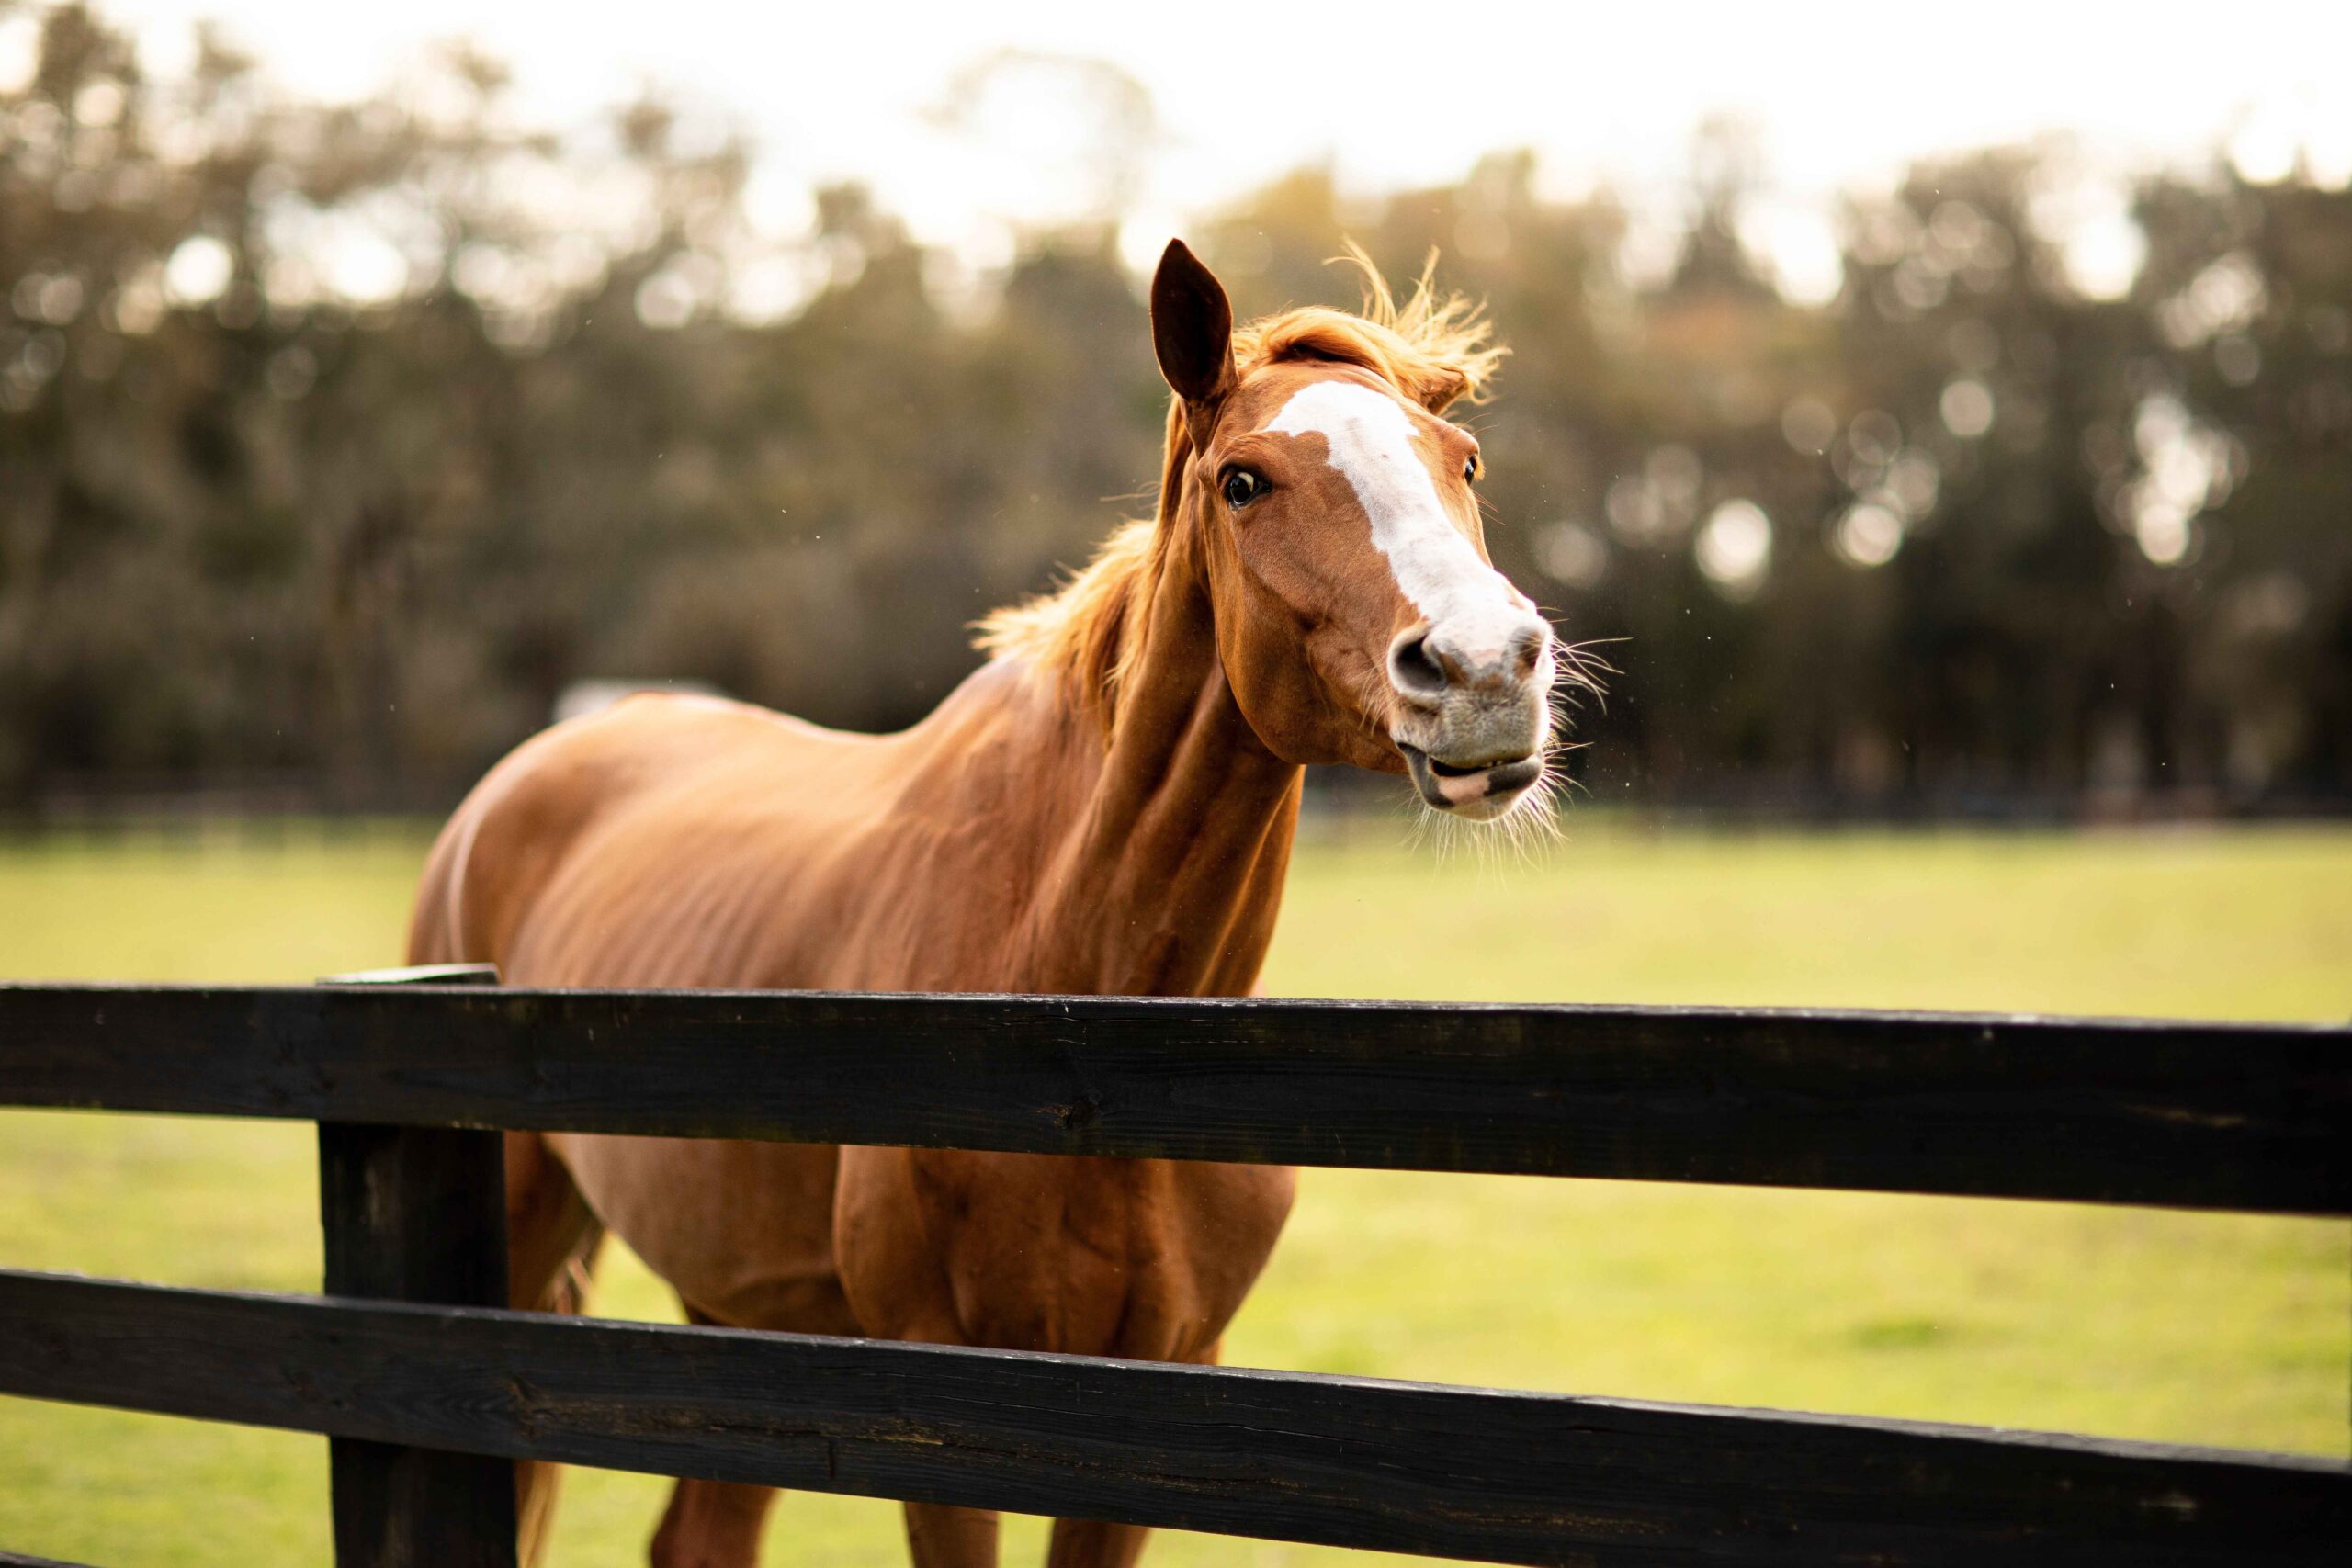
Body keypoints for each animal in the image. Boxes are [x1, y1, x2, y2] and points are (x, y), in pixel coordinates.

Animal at [416, 242, 1571, 1568]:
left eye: (1463, 461)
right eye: (1243, 481)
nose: (1484, 670)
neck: (1068, 1022)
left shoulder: (1165, 1395)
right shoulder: (942, 1407)